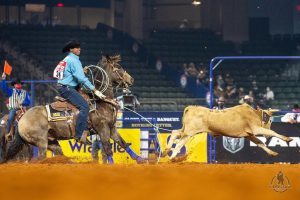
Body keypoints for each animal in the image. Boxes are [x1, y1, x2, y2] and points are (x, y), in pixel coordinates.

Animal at [0, 54, 142, 162]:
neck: (100, 101)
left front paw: (140, 160)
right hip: (41, 143)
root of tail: (21, 119)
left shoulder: (112, 128)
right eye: (118, 67)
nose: (131, 79)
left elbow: (123, 143)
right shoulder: (102, 128)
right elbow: (108, 150)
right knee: (40, 159)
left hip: (52, 142)